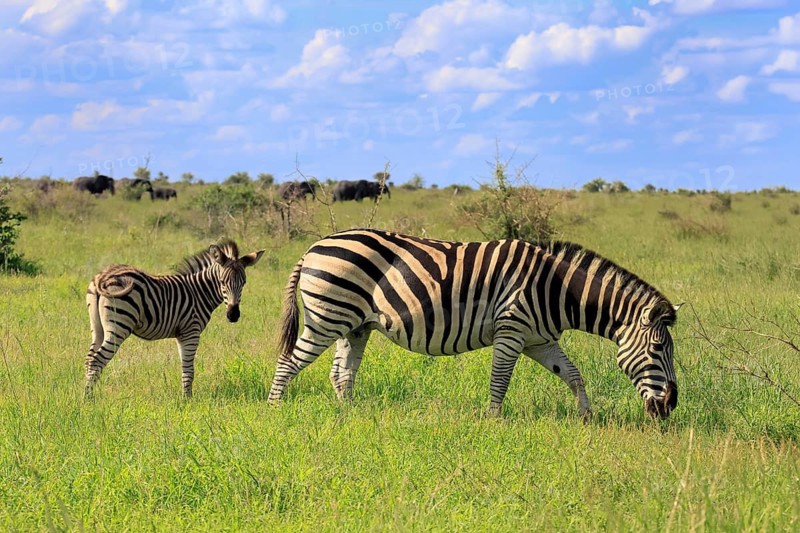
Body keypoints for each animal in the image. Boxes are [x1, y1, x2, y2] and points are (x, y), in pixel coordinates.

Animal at [84, 240, 264, 398]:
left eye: (244, 283)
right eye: (222, 282)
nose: (233, 315)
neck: (199, 292)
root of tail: (103, 276)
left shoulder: (181, 335)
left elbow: (184, 368)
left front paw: (185, 397)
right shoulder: (191, 331)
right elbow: (189, 370)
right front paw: (188, 400)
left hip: (97, 328)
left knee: (89, 359)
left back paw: (86, 396)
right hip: (119, 326)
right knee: (97, 361)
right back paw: (88, 400)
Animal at [268, 228, 681, 419]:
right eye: (658, 349)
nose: (670, 405)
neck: (555, 290)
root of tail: (314, 246)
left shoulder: (539, 339)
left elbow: (573, 375)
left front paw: (586, 417)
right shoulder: (511, 330)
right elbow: (500, 379)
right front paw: (494, 422)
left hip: (354, 326)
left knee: (341, 374)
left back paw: (350, 415)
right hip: (327, 317)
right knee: (288, 362)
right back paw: (275, 411)